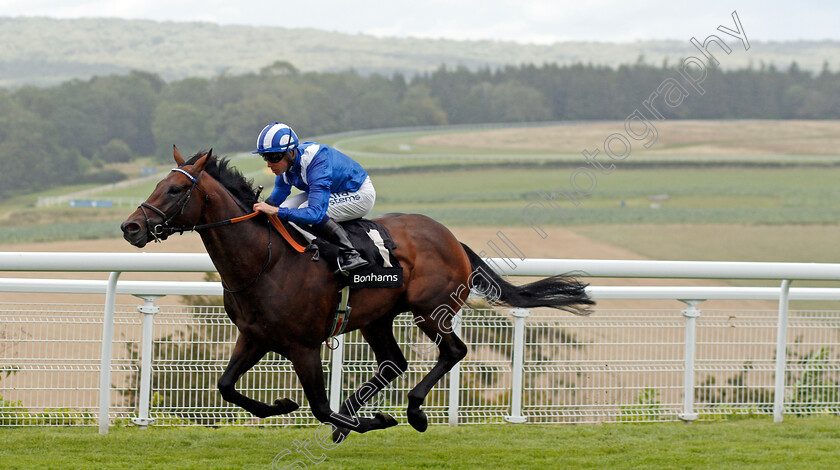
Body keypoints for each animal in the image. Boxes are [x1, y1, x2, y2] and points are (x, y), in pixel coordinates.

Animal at [121, 148, 592, 440]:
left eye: (176, 189)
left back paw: (412, 411)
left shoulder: (303, 345)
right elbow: (226, 386)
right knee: (393, 361)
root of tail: (452, 239)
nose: (131, 227)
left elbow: (318, 405)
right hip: (378, 317)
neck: (264, 262)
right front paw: (282, 406)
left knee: (453, 351)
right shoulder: (254, 336)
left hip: (430, 309)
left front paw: (369, 420)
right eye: (158, 183)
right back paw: (358, 410)